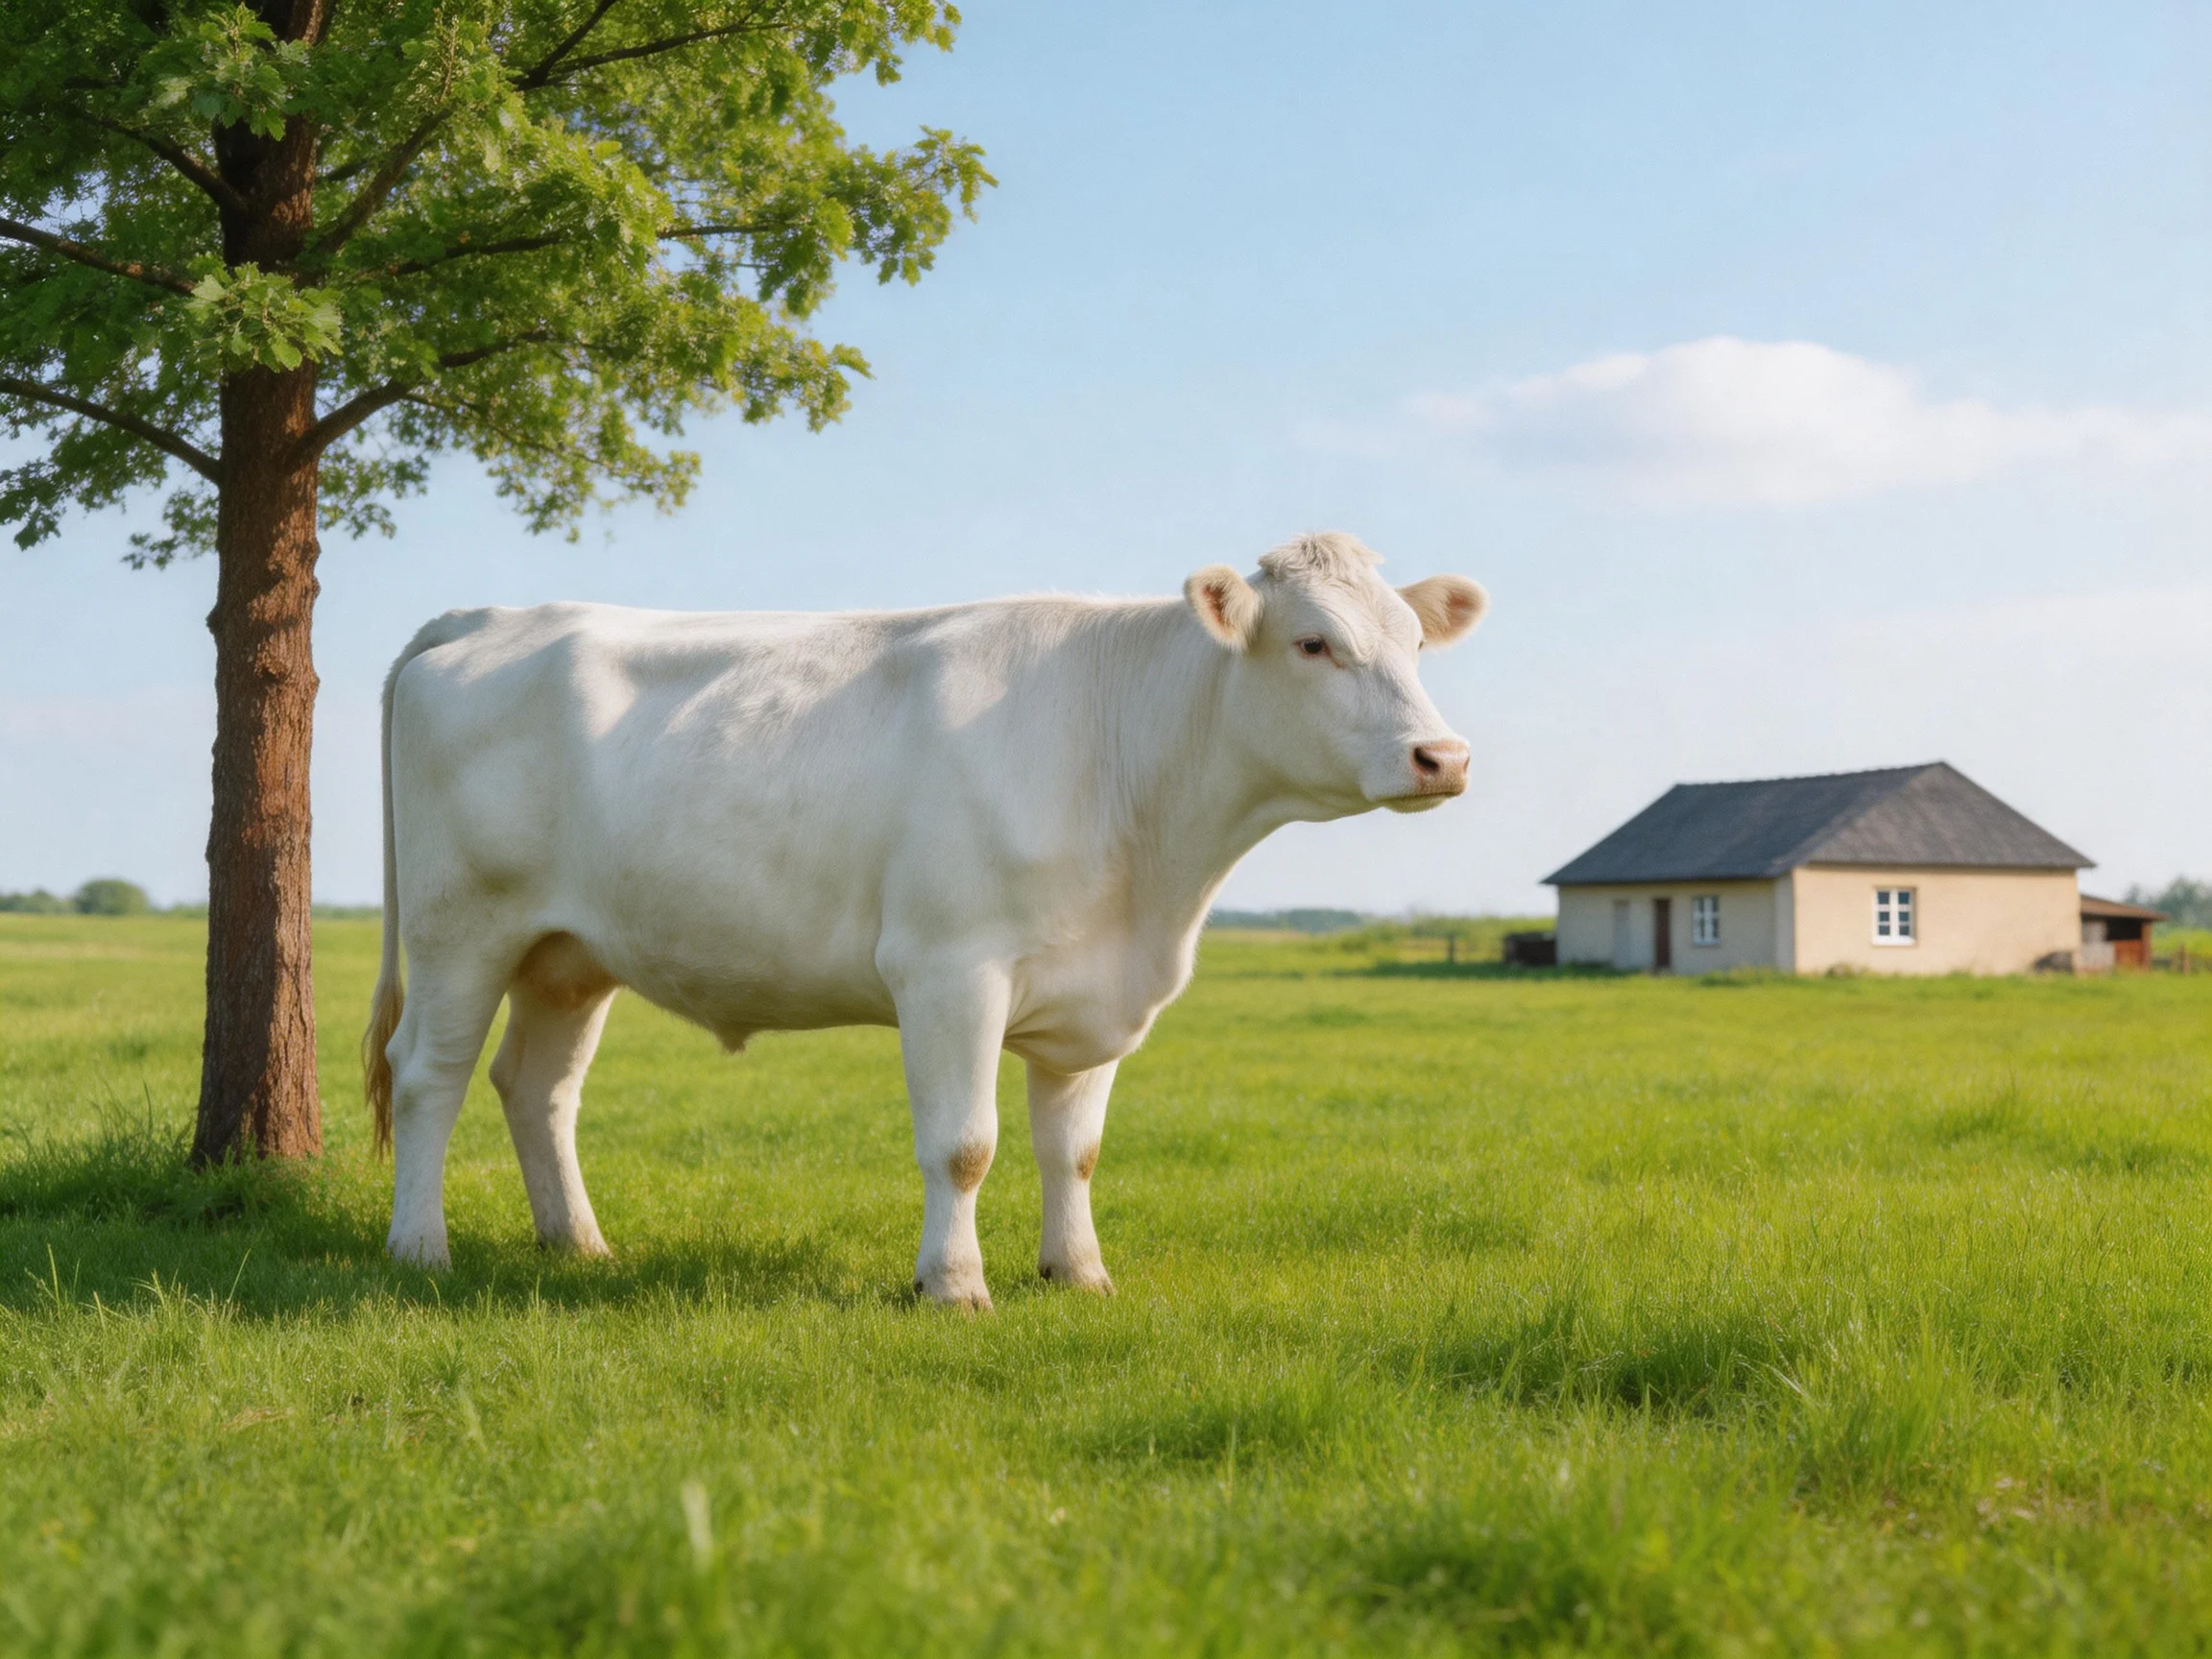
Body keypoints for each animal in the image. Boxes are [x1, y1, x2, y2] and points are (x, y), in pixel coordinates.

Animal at [363, 531, 1486, 1306]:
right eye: (1312, 642)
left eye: (1415, 641)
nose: (1444, 757)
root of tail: (491, 617)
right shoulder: (950, 970)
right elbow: (965, 1144)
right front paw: (952, 1285)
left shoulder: (1093, 995)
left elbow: (1072, 1150)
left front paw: (1079, 1274)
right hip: (461, 926)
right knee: (428, 1076)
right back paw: (419, 1248)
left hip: (568, 952)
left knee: (537, 1087)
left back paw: (580, 1245)